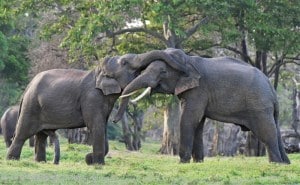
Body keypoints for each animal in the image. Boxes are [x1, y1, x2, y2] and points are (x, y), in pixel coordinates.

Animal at [6, 55, 151, 165]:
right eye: (125, 63)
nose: (115, 121)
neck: (98, 70)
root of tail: (28, 86)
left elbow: (102, 125)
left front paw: (92, 160)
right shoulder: (91, 97)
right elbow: (96, 126)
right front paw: (98, 164)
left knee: (41, 136)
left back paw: (41, 162)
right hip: (31, 105)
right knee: (22, 133)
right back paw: (12, 161)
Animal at [108, 48, 290, 164]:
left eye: (163, 72)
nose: (114, 121)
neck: (189, 60)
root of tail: (271, 87)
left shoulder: (198, 90)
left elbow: (189, 119)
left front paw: (183, 162)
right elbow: (198, 122)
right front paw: (198, 162)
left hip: (258, 105)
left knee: (266, 131)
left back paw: (276, 164)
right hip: (267, 107)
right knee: (275, 130)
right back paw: (285, 163)